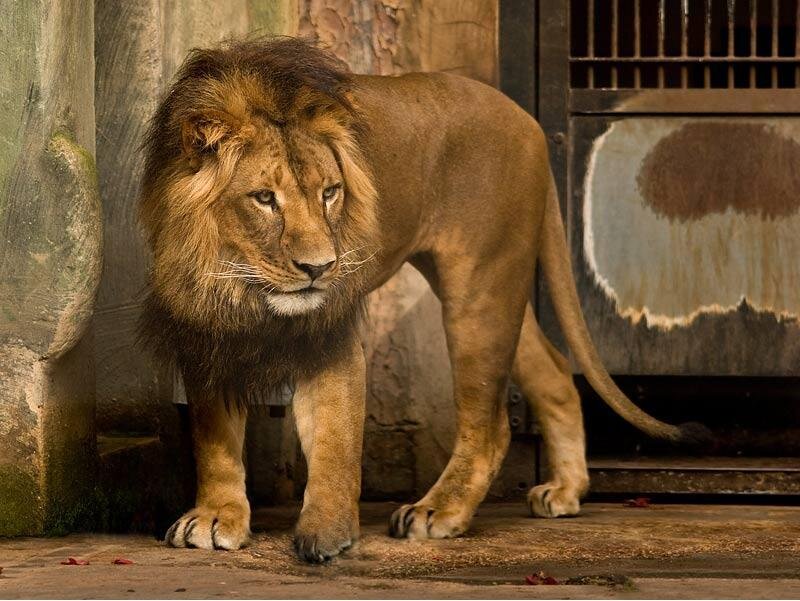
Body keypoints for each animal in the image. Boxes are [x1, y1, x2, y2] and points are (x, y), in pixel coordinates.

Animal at [139, 37, 706, 563]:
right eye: (263, 199)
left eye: (330, 193)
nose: (320, 268)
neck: (244, 282)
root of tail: (529, 121)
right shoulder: (203, 331)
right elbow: (214, 439)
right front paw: (216, 516)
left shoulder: (331, 329)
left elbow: (333, 439)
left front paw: (327, 534)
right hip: (499, 285)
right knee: (553, 370)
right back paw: (566, 491)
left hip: (478, 290)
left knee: (491, 424)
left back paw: (439, 511)